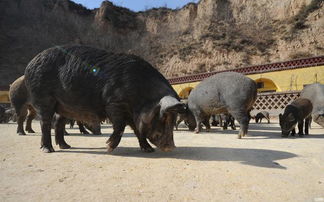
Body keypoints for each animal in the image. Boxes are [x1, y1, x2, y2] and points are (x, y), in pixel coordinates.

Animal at [23, 45, 184, 153]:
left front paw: (148, 150)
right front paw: (108, 147)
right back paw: (48, 150)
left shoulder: (132, 113)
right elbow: (120, 126)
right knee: (45, 122)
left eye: (174, 118)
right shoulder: (113, 103)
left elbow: (137, 130)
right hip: (43, 98)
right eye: (163, 117)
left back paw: (65, 146)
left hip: (63, 106)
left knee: (58, 122)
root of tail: (29, 64)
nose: (171, 147)